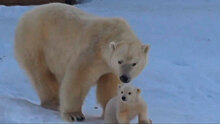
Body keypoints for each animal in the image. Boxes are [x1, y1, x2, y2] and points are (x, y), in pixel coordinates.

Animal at [14, 2, 150, 122]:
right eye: (120, 61)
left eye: (134, 63)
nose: (125, 77)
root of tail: (27, 14)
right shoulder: (92, 52)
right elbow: (79, 79)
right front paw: (74, 115)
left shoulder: (109, 67)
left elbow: (109, 85)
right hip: (35, 43)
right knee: (41, 74)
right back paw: (53, 103)